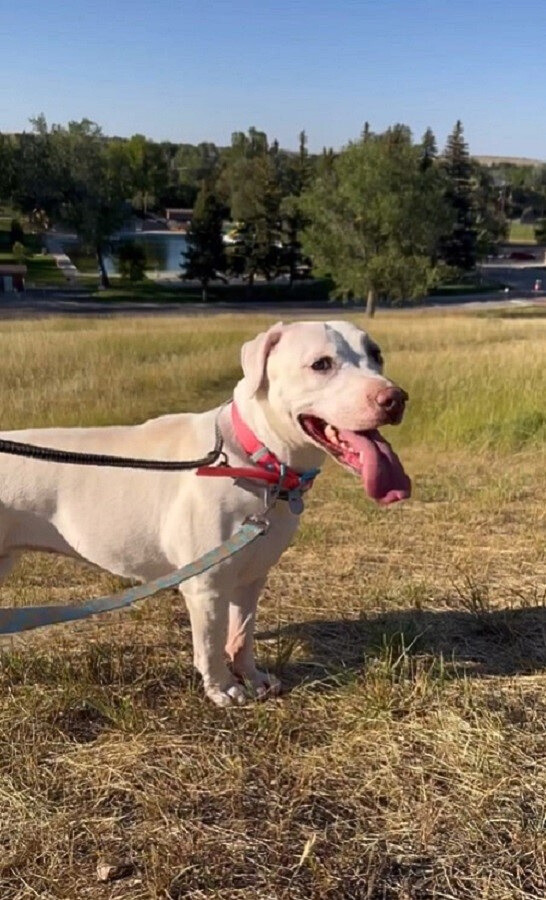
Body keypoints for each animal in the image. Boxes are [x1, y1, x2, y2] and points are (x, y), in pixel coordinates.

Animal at [0, 320, 408, 708]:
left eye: (376, 354)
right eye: (321, 364)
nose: (395, 398)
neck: (253, 457)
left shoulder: (252, 577)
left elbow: (242, 634)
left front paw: (253, 678)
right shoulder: (206, 586)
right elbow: (211, 644)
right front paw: (224, 689)